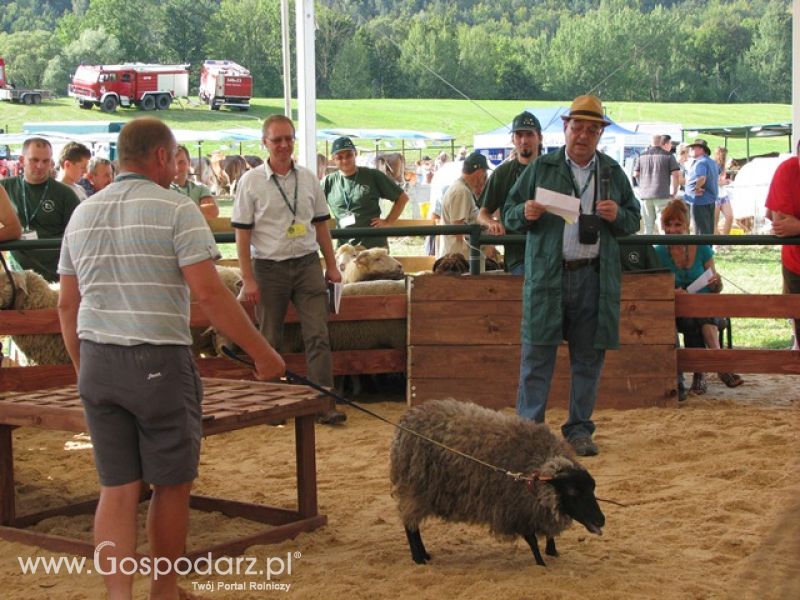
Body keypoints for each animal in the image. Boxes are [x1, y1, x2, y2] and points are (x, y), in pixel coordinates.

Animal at [390, 400, 608, 564]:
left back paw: (425, 555)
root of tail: (408, 418)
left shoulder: (531, 507)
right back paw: (419, 558)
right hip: (415, 488)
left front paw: (552, 552)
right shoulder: (514, 507)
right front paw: (541, 563)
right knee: (411, 525)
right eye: (572, 492)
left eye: (593, 489)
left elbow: (547, 533)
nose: (601, 520)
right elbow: (531, 539)